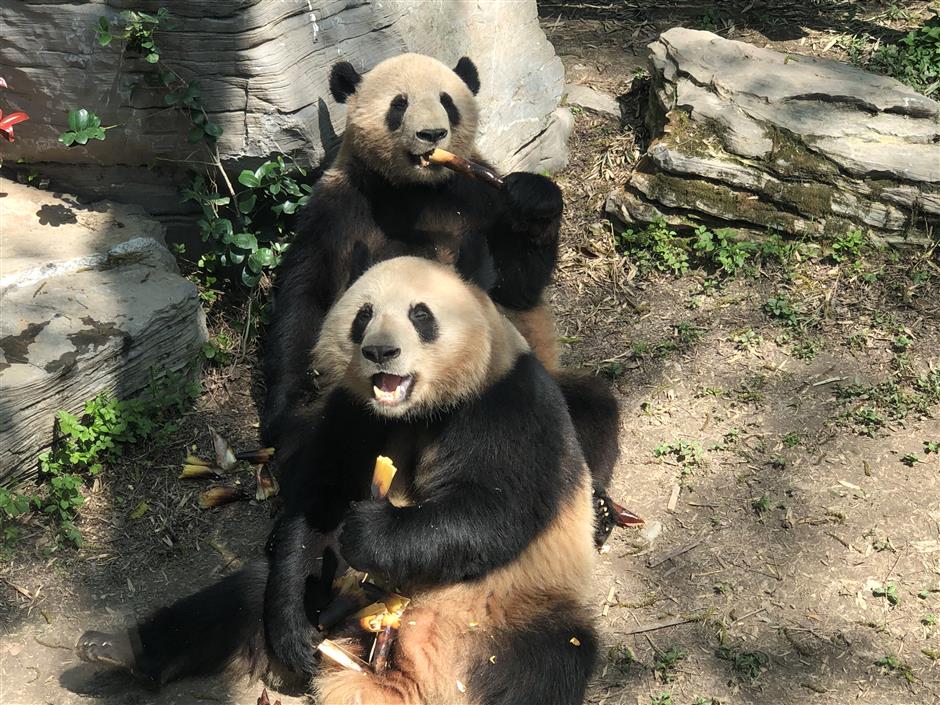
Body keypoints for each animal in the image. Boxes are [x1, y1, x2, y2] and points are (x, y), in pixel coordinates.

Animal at [77, 258, 600, 704]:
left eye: (421, 315)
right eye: (363, 316)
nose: (381, 351)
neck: (416, 411)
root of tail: (395, 671)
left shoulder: (508, 407)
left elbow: (492, 513)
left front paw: (371, 531)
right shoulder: (353, 415)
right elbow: (319, 506)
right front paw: (294, 632)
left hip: (512, 612)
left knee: (547, 663)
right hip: (331, 598)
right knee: (244, 596)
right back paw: (117, 649)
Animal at [262, 52, 624, 498]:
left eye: (447, 102)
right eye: (399, 104)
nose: (432, 133)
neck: (415, 188)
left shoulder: (478, 198)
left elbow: (517, 287)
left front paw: (534, 199)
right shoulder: (339, 206)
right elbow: (307, 293)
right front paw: (286, 404)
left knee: (590, 408)